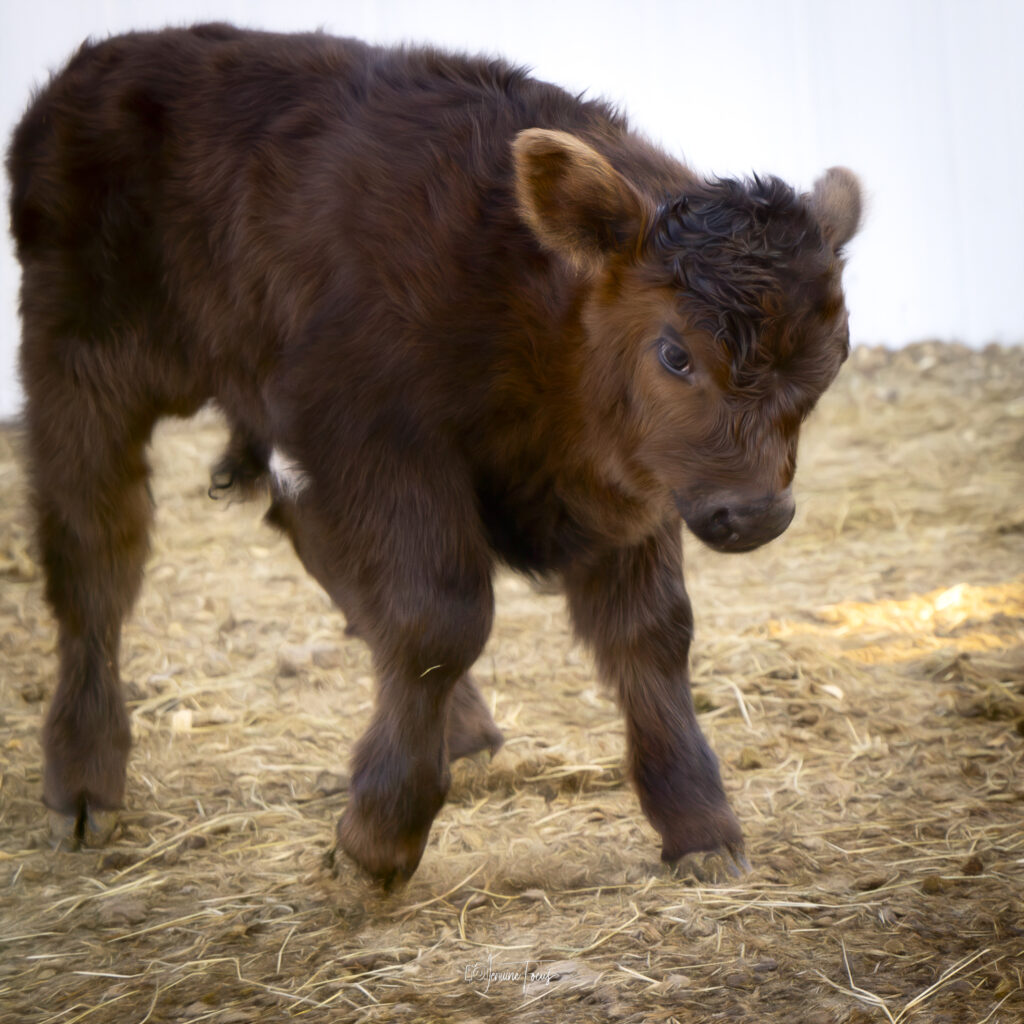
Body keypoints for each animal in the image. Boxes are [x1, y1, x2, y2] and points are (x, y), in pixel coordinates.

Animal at [7, 24, 861, 885]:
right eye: (675, 353)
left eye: (834, 355)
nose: (756, 514)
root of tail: (97, 66)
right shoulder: (380, 443)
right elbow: (438, 617)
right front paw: (378, 836)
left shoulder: (632, 479)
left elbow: (651, 633)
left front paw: (699, 825)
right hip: (83, 367)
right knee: (94, 552)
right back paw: (83, 784)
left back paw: (464, 732)